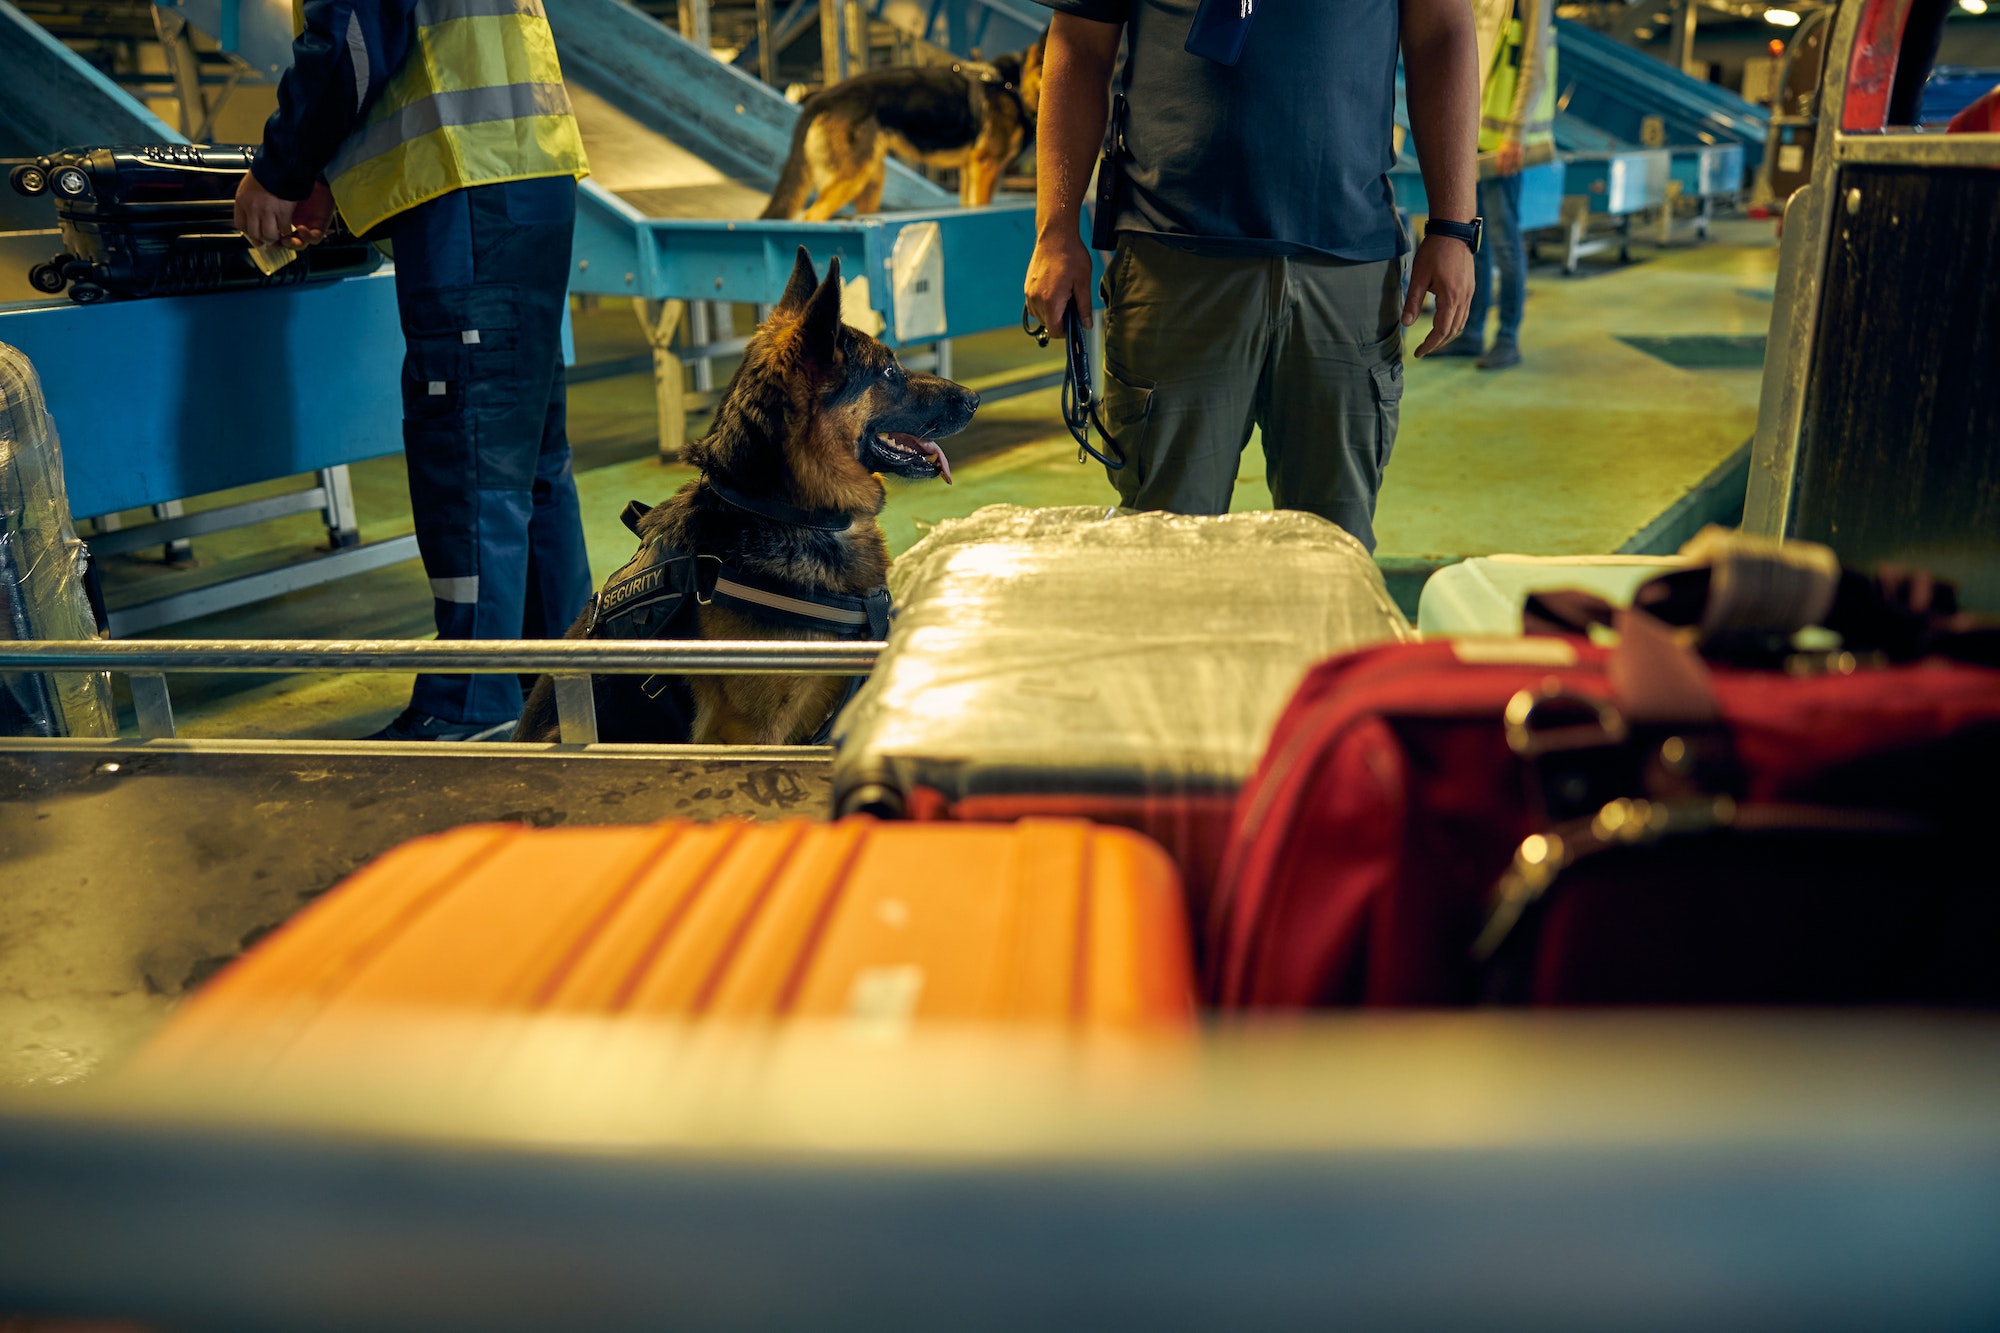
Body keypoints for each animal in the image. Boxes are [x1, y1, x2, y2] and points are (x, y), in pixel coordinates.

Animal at [756, 41, 1048, 219]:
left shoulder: (970, 170)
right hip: (851, 179)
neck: (1012, 83)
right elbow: (981, 205)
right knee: (811, 216)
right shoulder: (986, 167)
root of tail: (824, 96)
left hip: (871, 181)